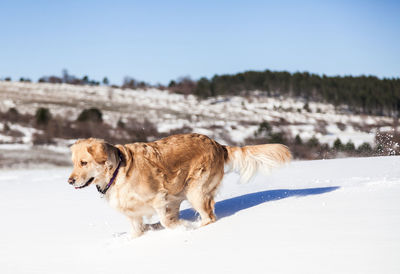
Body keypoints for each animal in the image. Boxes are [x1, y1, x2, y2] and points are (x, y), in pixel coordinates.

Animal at [68, 134, 290, 237]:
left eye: (84, 163)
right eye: (73, 162)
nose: (70, 181)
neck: (118, 171)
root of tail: (218, 144)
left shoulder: (160, 198)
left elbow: (167, 222)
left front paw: (183, 228)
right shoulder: (135, 213)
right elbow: (138, 230)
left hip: (196, 190)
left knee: (209, 217)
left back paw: (197, 228)